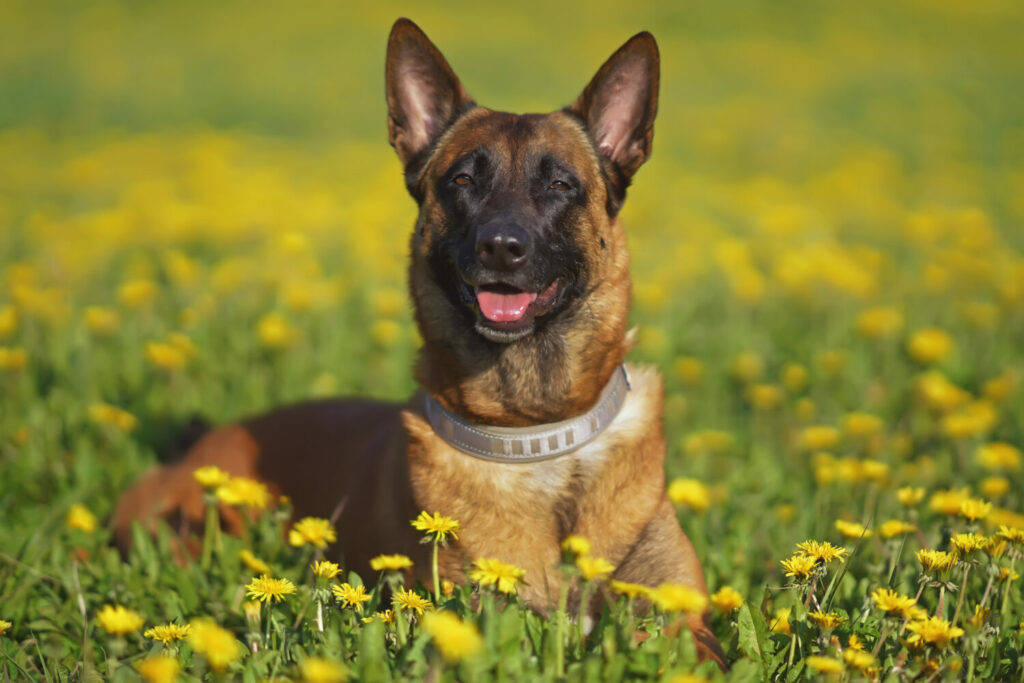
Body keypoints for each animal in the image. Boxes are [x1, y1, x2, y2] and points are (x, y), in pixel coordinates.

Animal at [116, 17, 729, 667]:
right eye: (462, 180)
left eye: (561, 184)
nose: (501, 247)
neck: (537, 434)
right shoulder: (476, 610)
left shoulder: (682, 615)